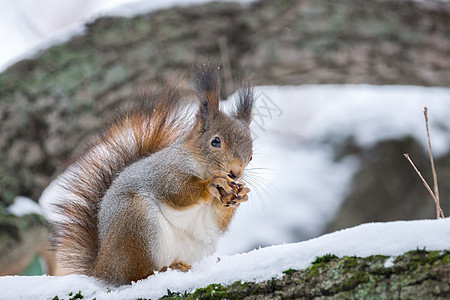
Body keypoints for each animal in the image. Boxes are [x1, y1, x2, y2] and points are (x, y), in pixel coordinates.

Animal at [51, 59, 255, 284]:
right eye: (215, 141)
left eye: (251, 156)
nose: (236, 173)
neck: (200, 166)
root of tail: (102, 268)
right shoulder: (164, 173)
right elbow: (177, 192)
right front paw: (211, 183)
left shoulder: (209, 218)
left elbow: (214, 223)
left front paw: (241, 194)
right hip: (135, 222)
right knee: (137, 275)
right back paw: (167, 269)